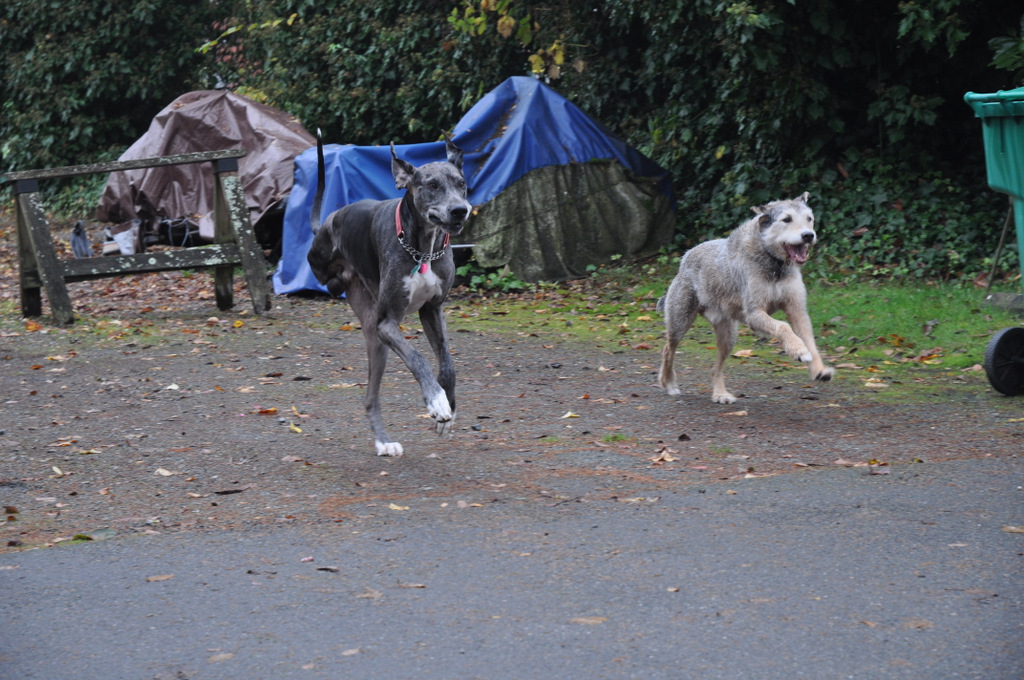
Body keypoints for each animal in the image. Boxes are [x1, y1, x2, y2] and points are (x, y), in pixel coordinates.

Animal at [307, 131, 471, 456]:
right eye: (432, 185)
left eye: (461, 183)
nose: (460, 210)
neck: (423, 249)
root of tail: (330, 220)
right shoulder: (387, 323)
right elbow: (417, 358)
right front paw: (436, 400)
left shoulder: (432, 310)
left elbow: (447, 364)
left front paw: (449, 403)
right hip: (370, 326)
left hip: (378, 341)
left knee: (370, 398)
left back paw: (383, 442)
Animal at [659, 191, 835, 403]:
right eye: (786, 219)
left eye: (809, 219)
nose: (808, 235)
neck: (774, 264)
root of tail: (685, 258)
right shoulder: (754, 313)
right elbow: (783, 326)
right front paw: (798, 351)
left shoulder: (797, 309)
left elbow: (810, 340)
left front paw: (818, 370)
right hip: (680, 321)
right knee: (668, 349)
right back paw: (669, 383)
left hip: (728, 336)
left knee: (715, 368)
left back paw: (721, 394)